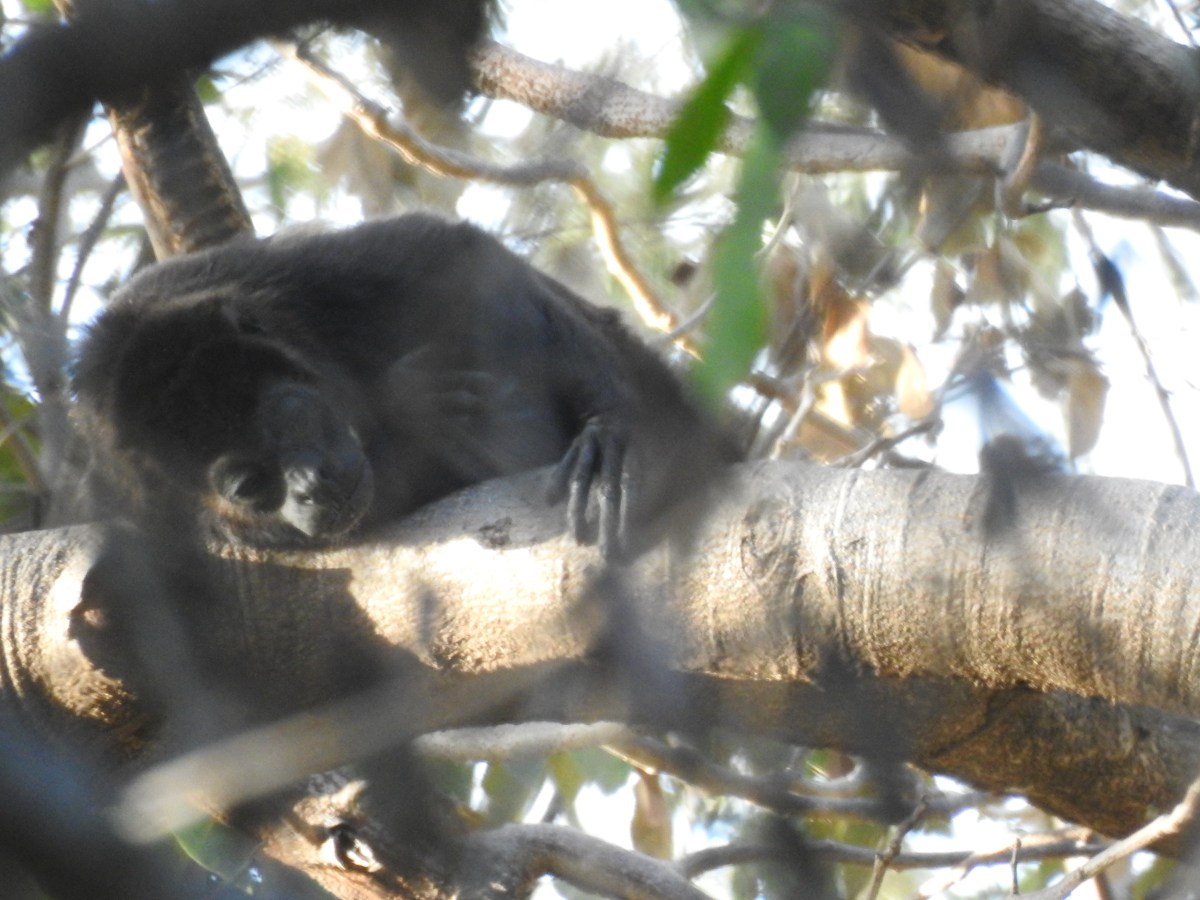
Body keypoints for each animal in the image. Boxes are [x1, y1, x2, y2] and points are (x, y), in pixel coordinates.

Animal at [72, 213, 737, 558]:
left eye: (290, 416)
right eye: (248, 486)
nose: (310, 485)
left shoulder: (297, 278)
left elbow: (454, 254)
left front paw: (611, 432)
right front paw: (410, 404)